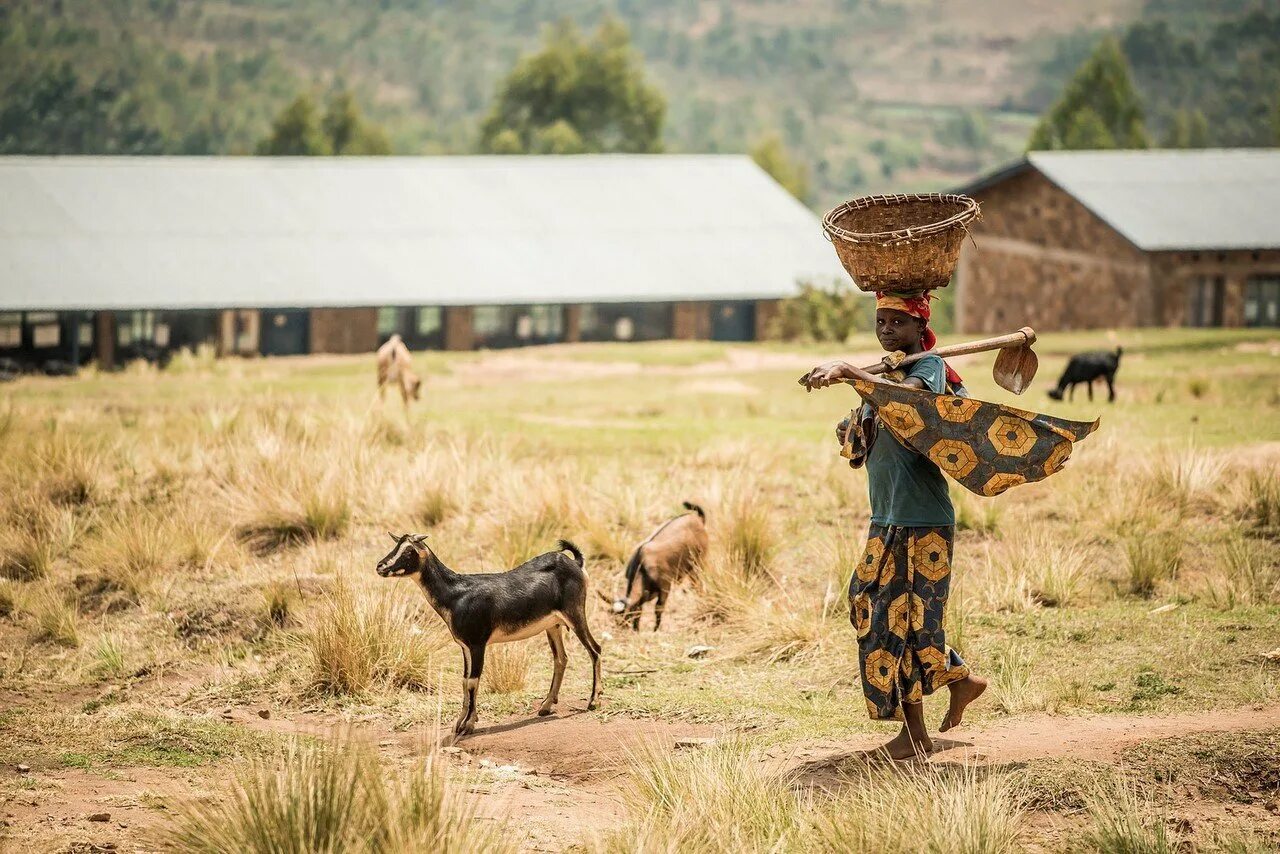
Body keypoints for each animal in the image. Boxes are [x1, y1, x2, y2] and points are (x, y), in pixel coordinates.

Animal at [376, 537, 601, 737]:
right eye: (396, 544)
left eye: (408, 551)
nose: (380, 566)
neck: (456, 594)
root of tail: (576, 563)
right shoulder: (465, 646)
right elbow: (464, 681)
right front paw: (460, 722)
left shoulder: (478, 644)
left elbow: (472, 682)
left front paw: (467, 725)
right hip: (553, 626)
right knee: (561, 658)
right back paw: (546, 706)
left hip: (575, 614)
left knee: (595, 650)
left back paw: (593, 702)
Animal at [599, 501, 711, 635]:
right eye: (614, 617)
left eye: (627, 614)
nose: (621, 629)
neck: (642, 567)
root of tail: (697, 519)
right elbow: (641, 609)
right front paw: (637, 629)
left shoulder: (665, 587)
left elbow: (658, 609)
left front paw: (655, 629)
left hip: (698, 563)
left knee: (698, 585)